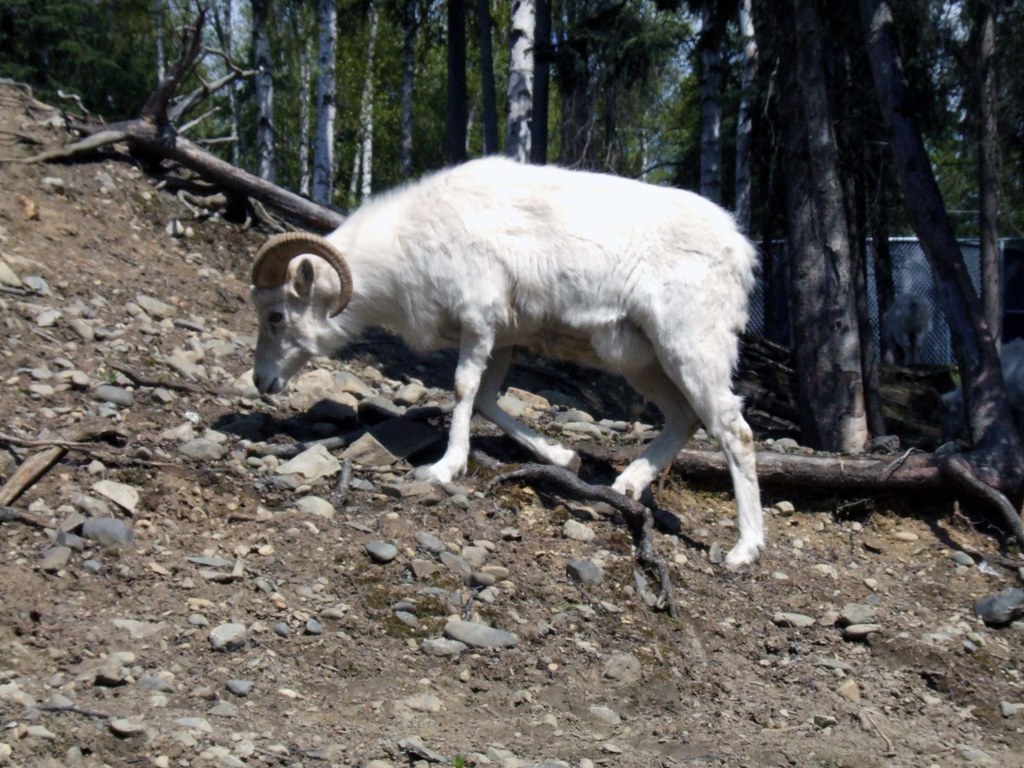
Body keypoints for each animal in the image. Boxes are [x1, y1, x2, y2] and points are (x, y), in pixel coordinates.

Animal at [249, 156, 764, 568]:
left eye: (276, 315)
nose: (262, 381)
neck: (409, 245)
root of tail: (741, 250)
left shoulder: (478, 321)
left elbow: (463, 389)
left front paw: (443, 469)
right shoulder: (501, 340)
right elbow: (487, 401)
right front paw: (564, 458)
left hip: (690, 349)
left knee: (733, 431)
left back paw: (743, 551)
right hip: (643, 363)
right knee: (684, 418)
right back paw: (625, 486)